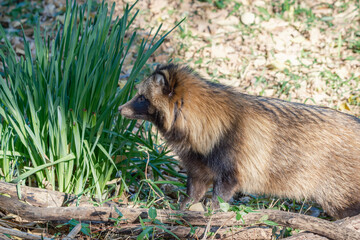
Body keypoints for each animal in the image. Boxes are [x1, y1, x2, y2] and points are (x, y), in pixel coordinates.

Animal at [119, 64, 360, 219]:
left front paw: (211, 216)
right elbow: (194, 191)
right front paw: (183, 209)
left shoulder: (231, 166)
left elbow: (219, 198)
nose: (120, 109)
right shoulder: (199, 164)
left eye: (142, 97)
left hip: (338, 193)